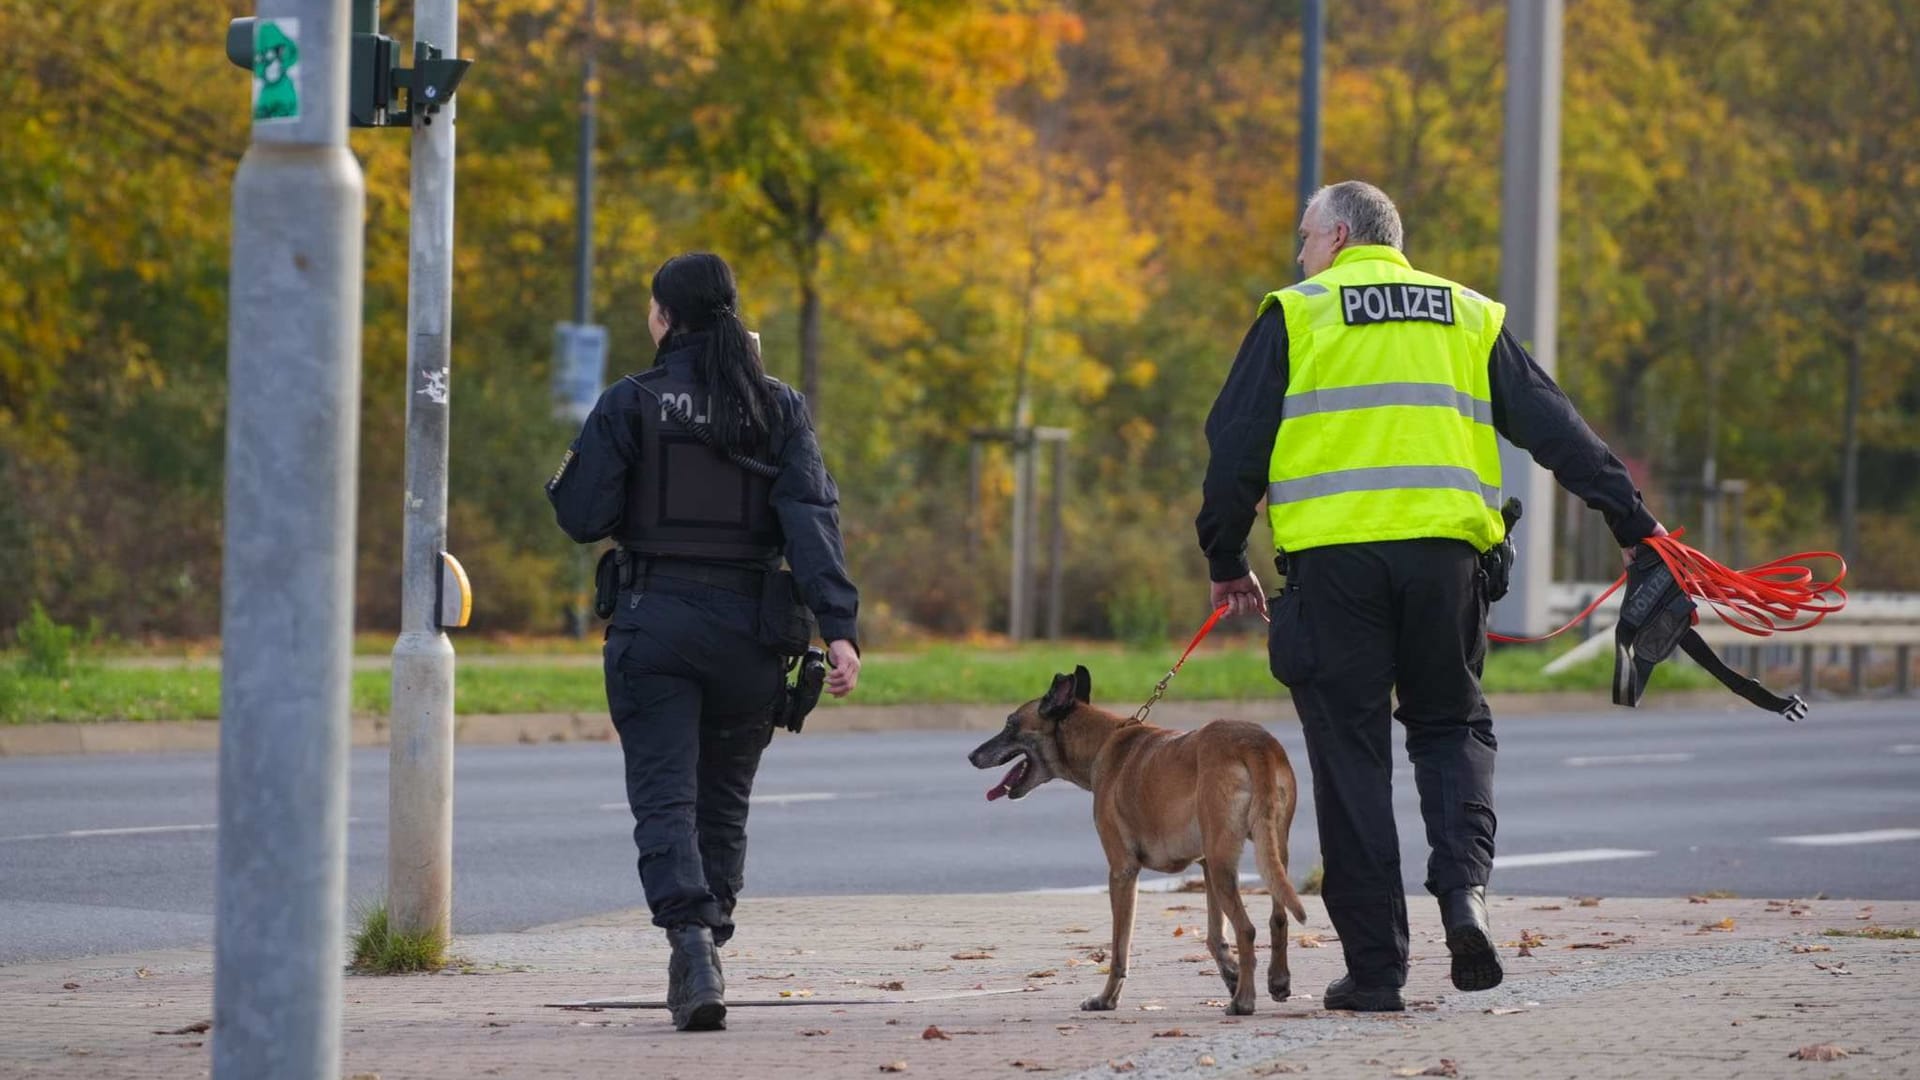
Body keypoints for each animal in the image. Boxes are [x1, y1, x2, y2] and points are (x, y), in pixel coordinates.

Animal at [967, 661, 1313, 1014]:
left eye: (1010, 724)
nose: (972, 755)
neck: (1104, 741)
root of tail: (1254, 743)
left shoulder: (1123, 871)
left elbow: (1120, 949)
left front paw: (1106, 998)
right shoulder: (1205, 865)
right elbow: (1215, 936)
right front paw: (1231, 973)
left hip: (1223, 863)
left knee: (1247, 928)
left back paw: (1243, 1001)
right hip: (1266, 853)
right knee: (1278, 917)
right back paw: (1276, 981)